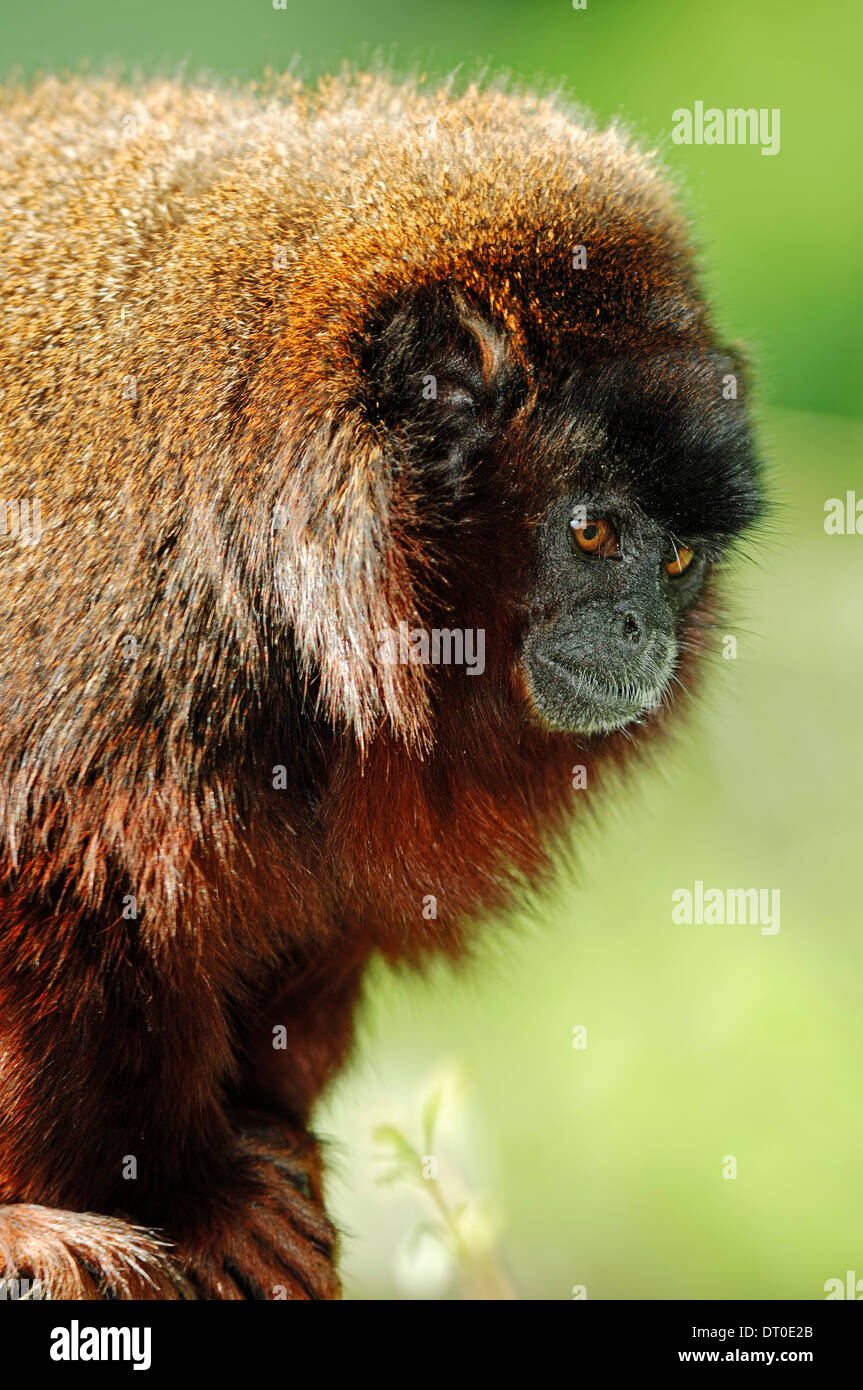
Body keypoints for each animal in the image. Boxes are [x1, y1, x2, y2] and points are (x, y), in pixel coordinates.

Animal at [0, 70, 761, 1295]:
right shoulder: (131, 635)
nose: (641, 627)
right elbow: (56, 871)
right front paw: (185, 1193)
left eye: (679, 558)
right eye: (593, 532)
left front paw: (263, 1146)